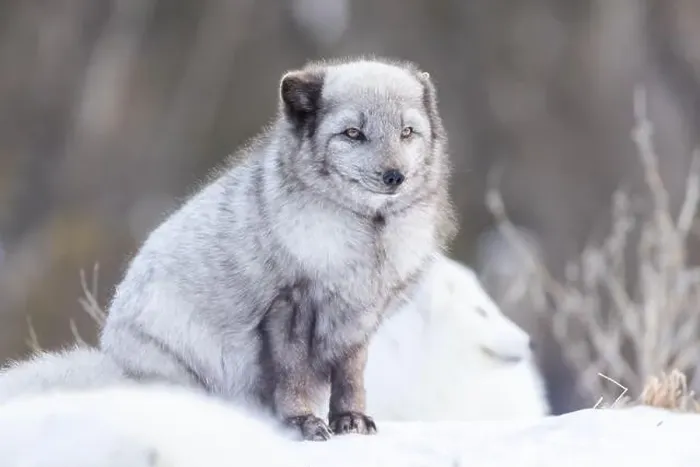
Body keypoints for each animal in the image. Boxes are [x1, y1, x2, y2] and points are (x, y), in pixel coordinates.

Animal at [0, 57, 456, 441]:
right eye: (353, 133)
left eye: (407, 132)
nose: (394, 176)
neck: (368, 238)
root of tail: (112, 359)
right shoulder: (287, 306)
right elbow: (293, 378)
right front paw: (302, 423)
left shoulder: (359, 317)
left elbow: (351, 378)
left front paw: (351, 420)